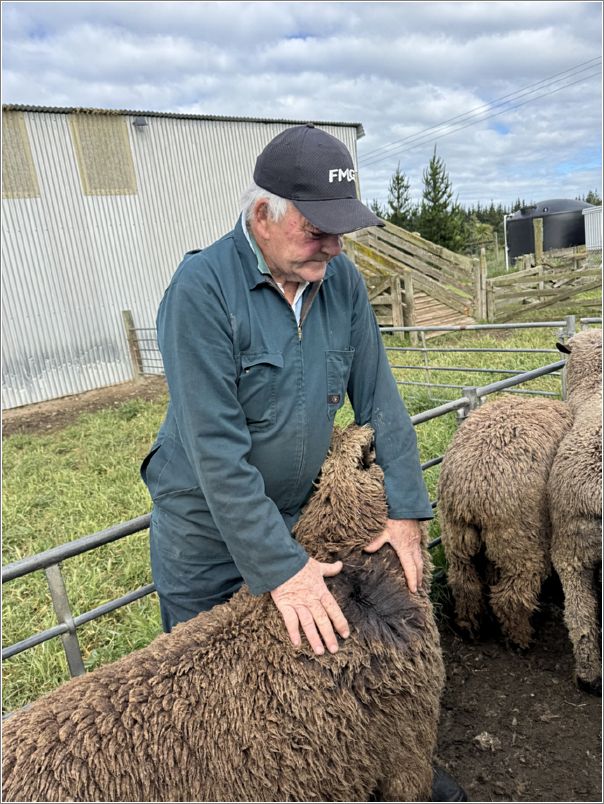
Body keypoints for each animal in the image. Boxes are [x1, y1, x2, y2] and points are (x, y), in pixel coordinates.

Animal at [438, 396, 572, 648]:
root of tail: (469, 492)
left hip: (457, 537)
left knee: (465, 584)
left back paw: (471, 627)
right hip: (520, 540)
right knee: (511, 597)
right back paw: (520, 640)